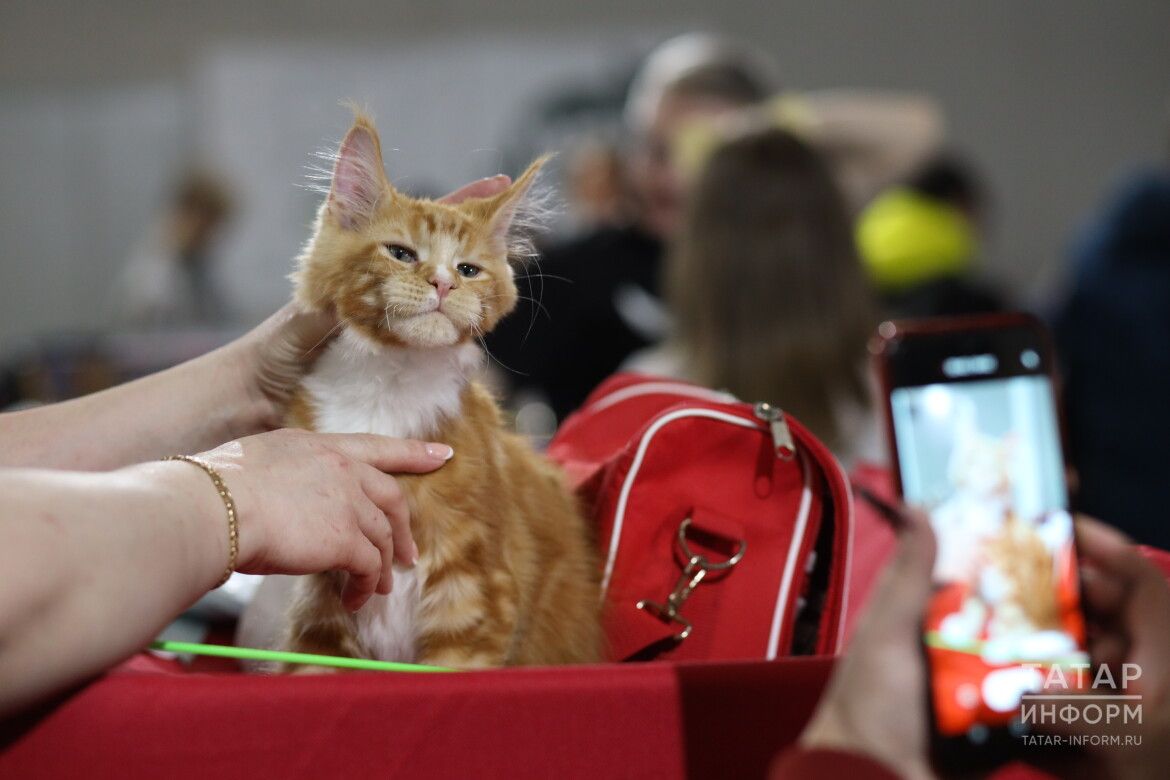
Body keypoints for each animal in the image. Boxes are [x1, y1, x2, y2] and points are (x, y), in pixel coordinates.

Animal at [278, 112, 599, 668]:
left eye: (468, 269)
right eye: (401, 254)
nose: (444, 283)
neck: (387, 388)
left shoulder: (476, 595)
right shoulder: (322, 610)